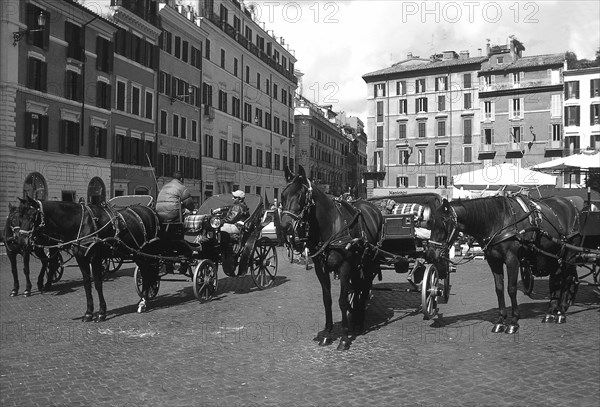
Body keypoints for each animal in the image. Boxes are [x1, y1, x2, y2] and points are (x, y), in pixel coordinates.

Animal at [15, 196, 159, 324]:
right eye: (20, 216)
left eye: (33, 215)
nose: (21, 241)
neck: (81, 223)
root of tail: (150, 210)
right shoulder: (81, 260)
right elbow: (87, 284)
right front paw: (89, 313)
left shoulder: (95, 259)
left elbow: (98, 284)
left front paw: (101, 313)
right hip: (137, 254)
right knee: (146, 273)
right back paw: (143, 299)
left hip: (147, 253)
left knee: (147, 273)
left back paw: (143, 301)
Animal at [278, 166, 382, 350]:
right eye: (283, 195)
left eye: (301, 196)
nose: (285, 226)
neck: (331, 227)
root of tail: (373, 208)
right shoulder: (321, 269)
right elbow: (327, 300)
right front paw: (327, 333)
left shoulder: (345, 266)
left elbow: (342, 300)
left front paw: (344, 338)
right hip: (358, 265)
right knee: (357, 287)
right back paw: (355, 317)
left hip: (369, 263)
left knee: (364, 287)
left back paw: (359, 320)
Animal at [424, 195, 584, 334]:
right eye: (430, 223)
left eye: (444, 223)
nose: (431, 254)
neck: (498, 221)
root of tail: (571, 204)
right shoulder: (493, 261)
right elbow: (499, 289)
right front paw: (501, 321)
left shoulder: (512, 260)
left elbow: (511, 289)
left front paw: (513, 322)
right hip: (554, 256)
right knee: (556, 280)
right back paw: (551, 312)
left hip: (570, 254)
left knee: (567, 279)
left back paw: (561, 312)